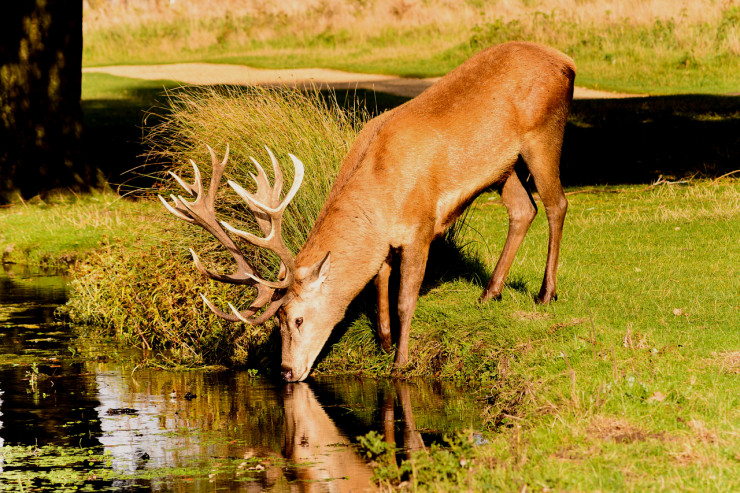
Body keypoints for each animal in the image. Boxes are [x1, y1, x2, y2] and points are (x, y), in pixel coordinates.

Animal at [161, 41, 576, 382]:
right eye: (276, 319)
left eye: (297, 317)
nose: (286, 371)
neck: (380, 196)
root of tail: (567, 62)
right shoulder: (385, 243)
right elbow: (379, 289)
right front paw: (385, 344)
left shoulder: (421, 226)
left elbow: (405, 298)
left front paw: (400, 363)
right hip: (503, 167)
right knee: (523, 209)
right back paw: (489, 294)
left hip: (544, 133)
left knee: (557, 204)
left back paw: (546, 293)